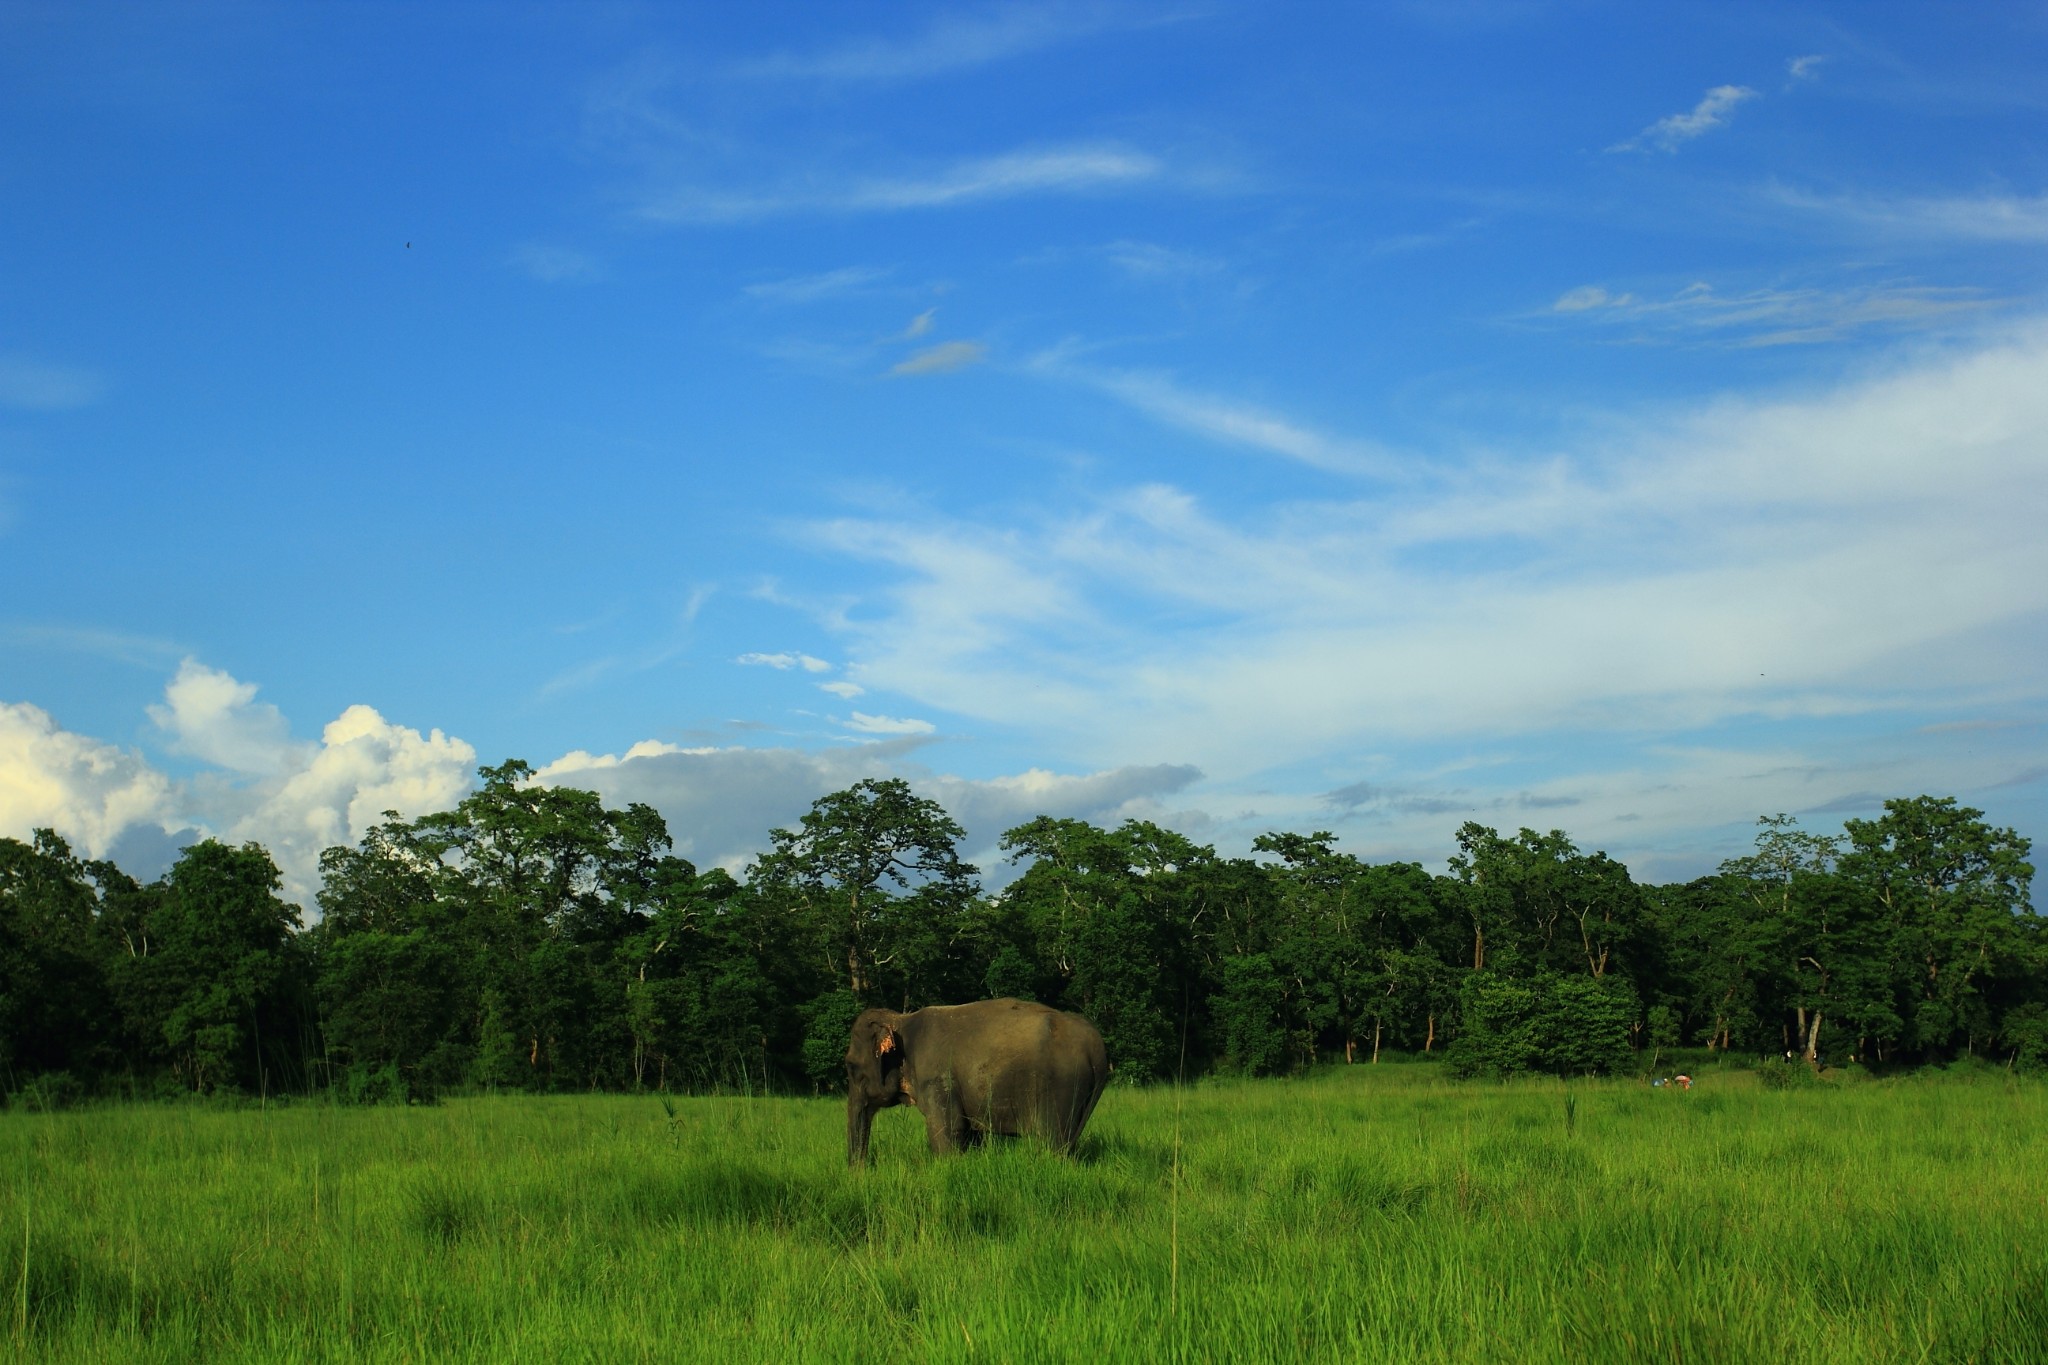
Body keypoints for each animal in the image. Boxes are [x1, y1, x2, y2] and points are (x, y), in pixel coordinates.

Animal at [839, 998, 1114, 1170]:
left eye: (850, 1066)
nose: (859, 1172)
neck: (902, 1021)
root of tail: (1097, 1047)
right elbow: (971, 1135)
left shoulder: (936, 1077)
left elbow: (946, 1131)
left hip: (1062, 1086)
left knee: (1051, 1143)